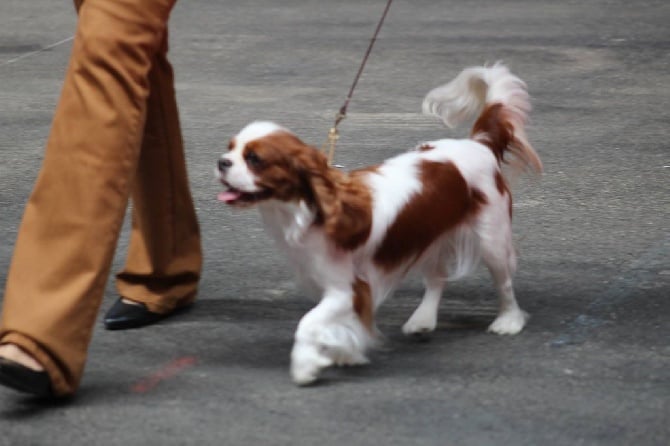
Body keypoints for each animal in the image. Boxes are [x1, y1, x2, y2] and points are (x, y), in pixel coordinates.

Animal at [218, 63, 544, 386]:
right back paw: (423, 319)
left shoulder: (346, 289)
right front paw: (343, 353)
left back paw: (508, 321)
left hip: (492, 239)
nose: (222, 162)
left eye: (254, 159)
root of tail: (479, 144)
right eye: (230, 148)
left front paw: (305, 366)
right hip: (431, 234)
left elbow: (308, 322)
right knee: (436, 278)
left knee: (503, 282)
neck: (309, 209)